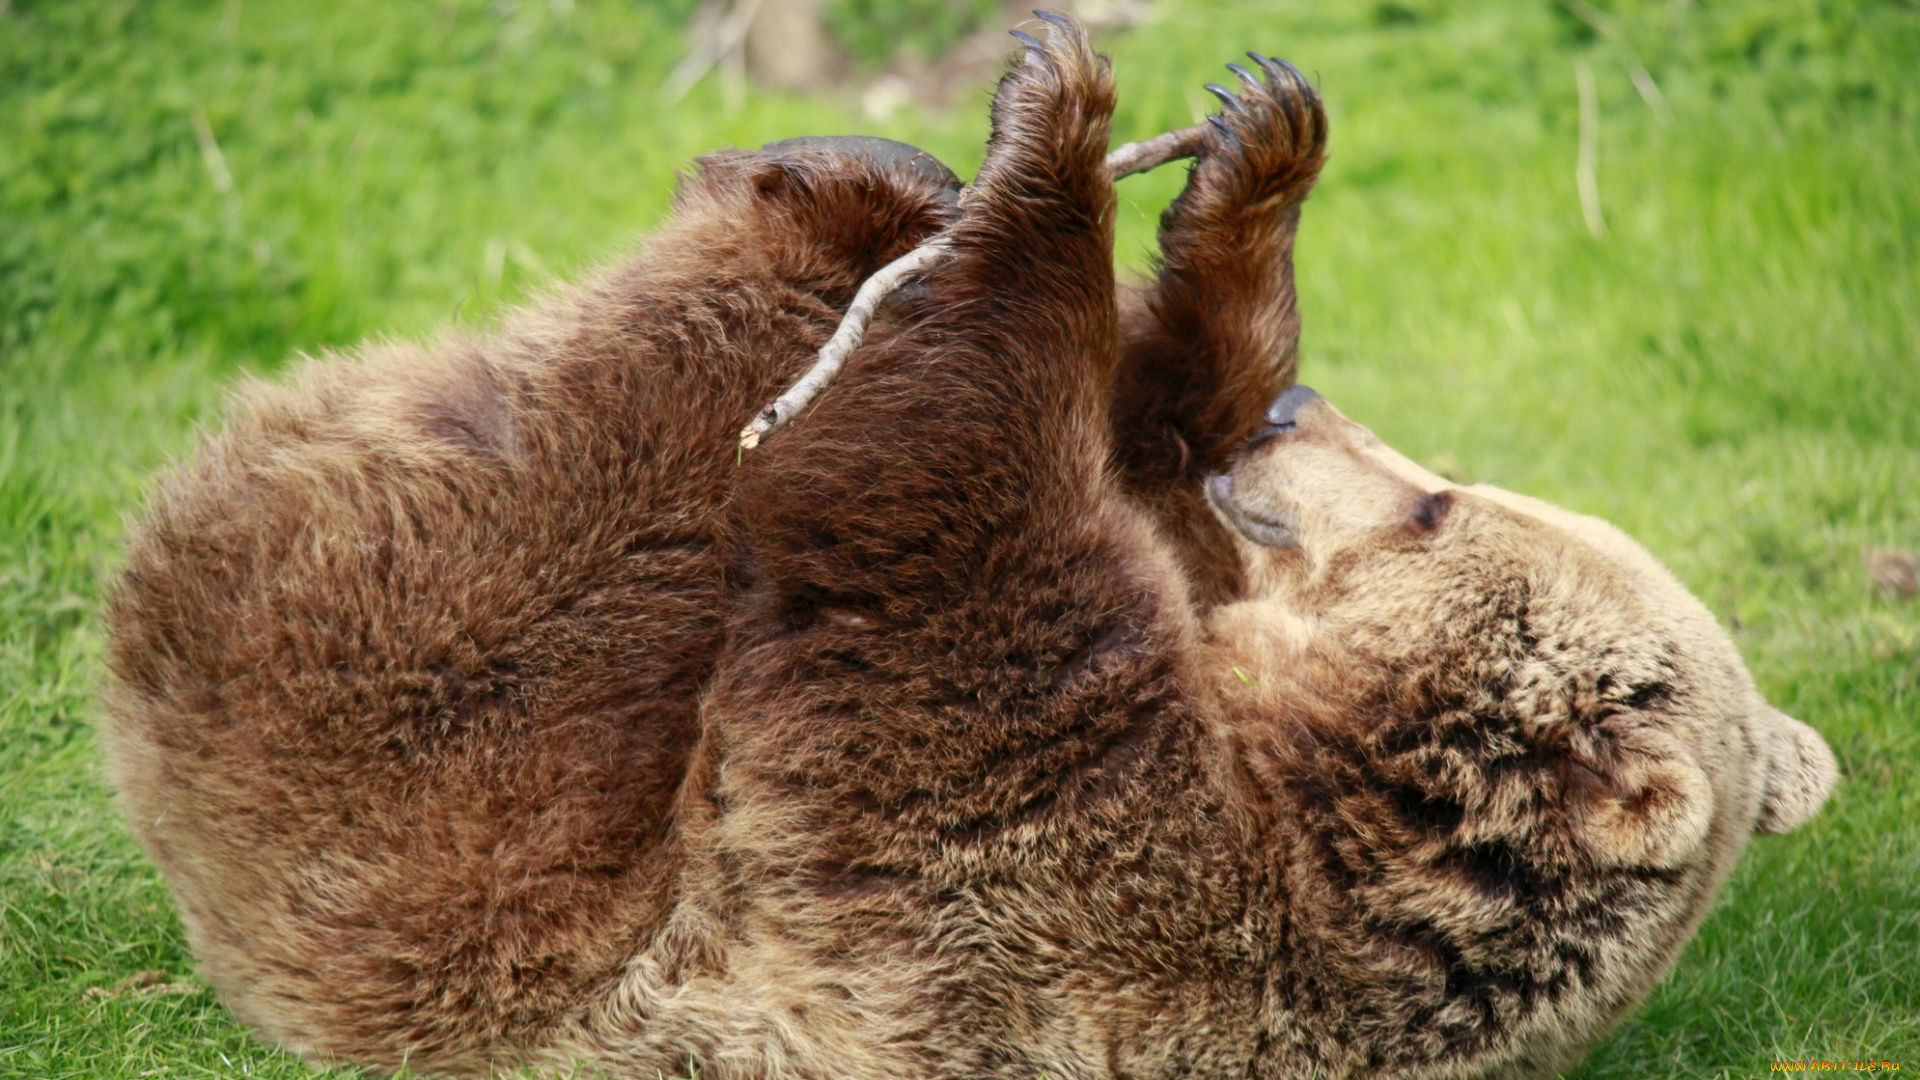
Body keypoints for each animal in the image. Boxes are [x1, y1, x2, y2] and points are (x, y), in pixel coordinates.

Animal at [97, 16, 1835, 1076]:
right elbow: (1136, 449)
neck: (1306, 779)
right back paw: (869, 172)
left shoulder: (1040, 879)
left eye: (1436, 504)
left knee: (605, 487)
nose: (1299, 416)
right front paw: (1251, 157)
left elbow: (936, 523)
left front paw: (1056, 132)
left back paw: (827, 195)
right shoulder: (1183, 644)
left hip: (432, 773)